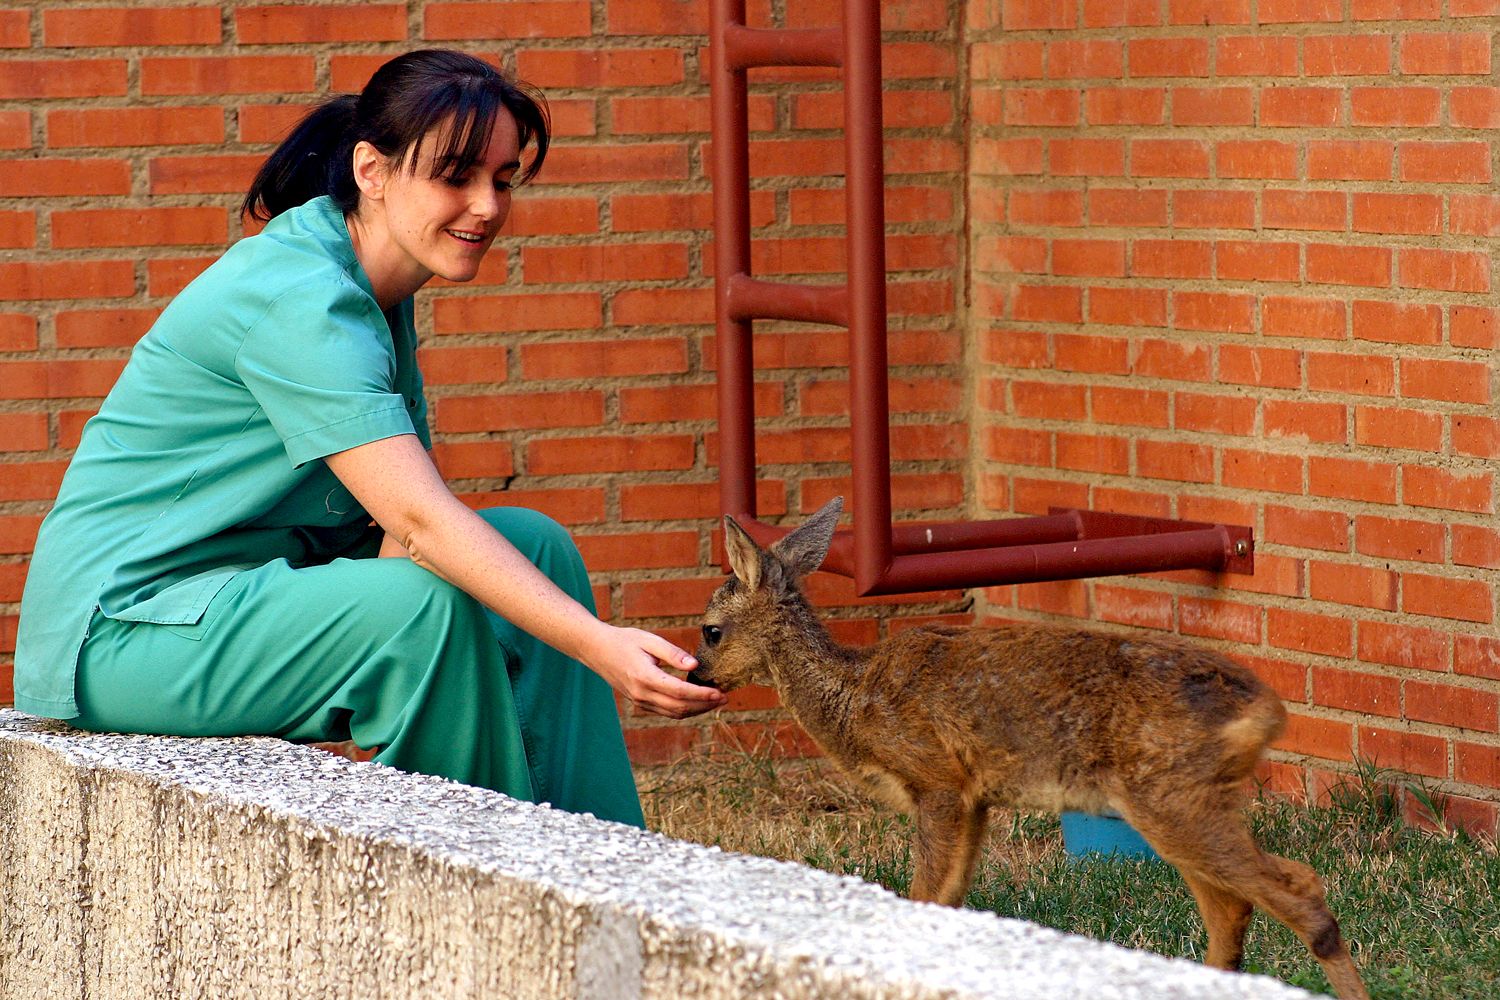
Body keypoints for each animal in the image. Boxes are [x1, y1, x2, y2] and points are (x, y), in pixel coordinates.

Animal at [687, 500, 1368, 1000]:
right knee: (1233, 911)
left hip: (1172, 796)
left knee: (1300, 894)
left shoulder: (936, 778)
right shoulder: (976, 798)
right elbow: (950, 902)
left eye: (710, 631)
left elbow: (924, 896)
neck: (855, 702)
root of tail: (1267, 710)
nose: (696, 675)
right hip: (1181, 803)